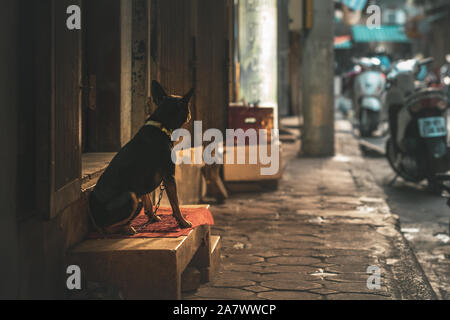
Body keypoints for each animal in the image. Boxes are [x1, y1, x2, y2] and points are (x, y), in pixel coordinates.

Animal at [89, 81, 193, 234]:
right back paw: (127, 228)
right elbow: (175, 203)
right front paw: (182, 222)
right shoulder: (169, 176)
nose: (190, 115)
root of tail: (94, 217)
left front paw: (152, 217)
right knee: (106, 228)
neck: (161, 124)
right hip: (130, 197)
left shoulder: (141, 182)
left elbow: (148, 201)